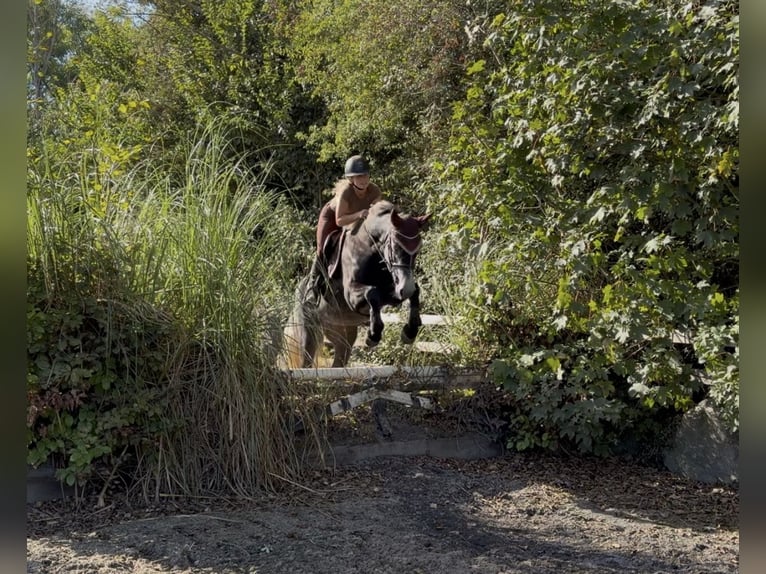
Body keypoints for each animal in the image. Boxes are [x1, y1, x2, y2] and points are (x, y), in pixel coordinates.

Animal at [284, 200, 431, 368]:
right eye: (395, 246)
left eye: (418, 248)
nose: (405, 288)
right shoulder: (352, 296)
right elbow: (372, 293)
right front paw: (373, 336)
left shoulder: (393, 292)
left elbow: (414, 292)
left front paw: (410, 332)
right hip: (309, 334)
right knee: (305, 361)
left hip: (342, 334)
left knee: (338, 361)